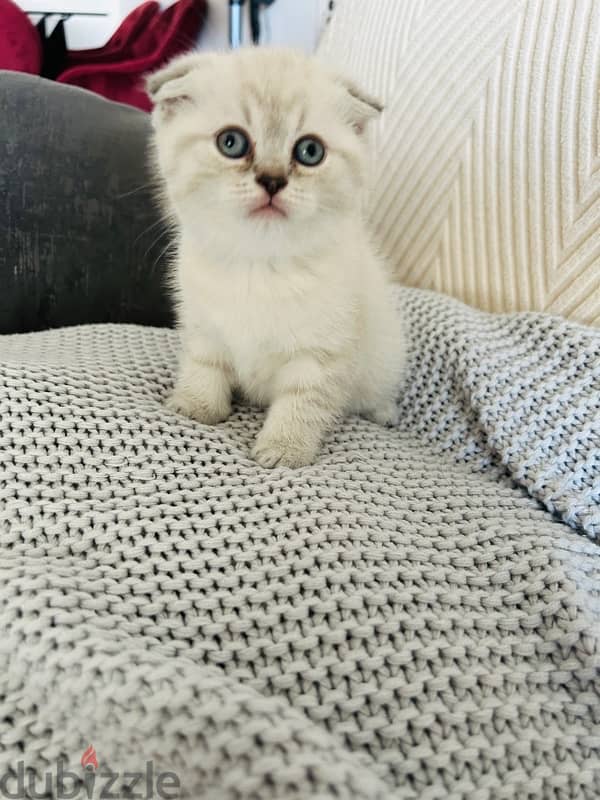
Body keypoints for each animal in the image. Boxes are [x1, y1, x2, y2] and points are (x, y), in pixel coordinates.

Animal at [148, 48, 406, 468]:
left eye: (310, 151)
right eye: (231, 142)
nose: (272, 180)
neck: (259, 264)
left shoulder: (322, 354)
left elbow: (301, 403)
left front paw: (285, 450)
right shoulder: (204, 326)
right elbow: (204, 365)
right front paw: (196, 406)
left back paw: (382, 412)